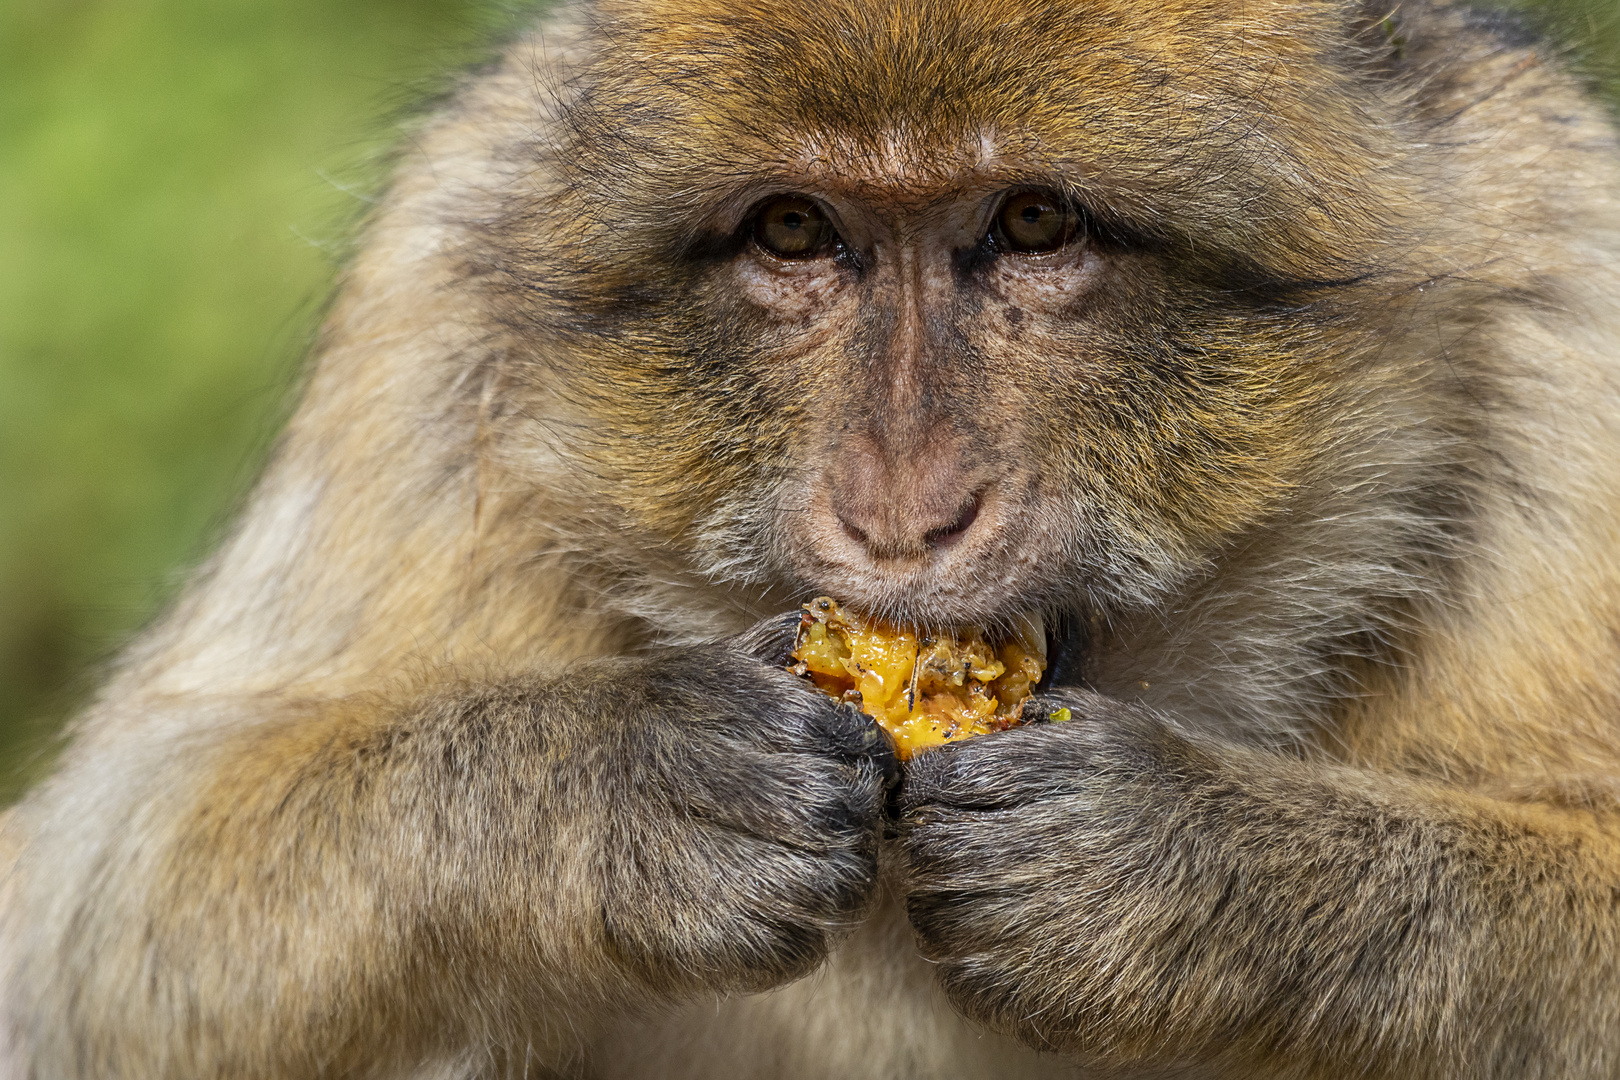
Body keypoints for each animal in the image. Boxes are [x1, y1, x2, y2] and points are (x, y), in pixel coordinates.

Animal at [3, 0, 1620, 1075]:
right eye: (795, 233)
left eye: (1036, 224)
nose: (900, 511)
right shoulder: (433, 310)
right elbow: (97, 911)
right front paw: (642, 786)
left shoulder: (1577, 321)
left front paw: (1174, 867)